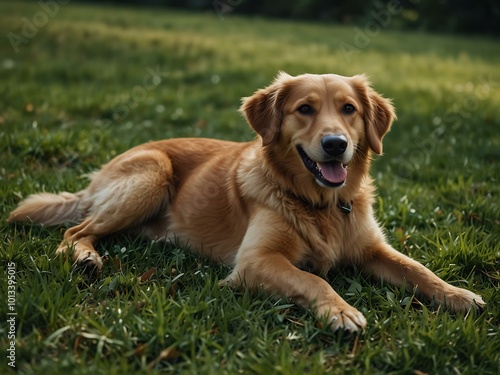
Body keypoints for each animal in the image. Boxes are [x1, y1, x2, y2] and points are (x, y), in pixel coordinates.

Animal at [7, 72, 484, 332]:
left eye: (349, 109)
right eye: (305, 109)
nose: (336, 145)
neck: (320, 204)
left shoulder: (372, 249)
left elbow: (418, 270)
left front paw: (459, 294)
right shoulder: (255, 261)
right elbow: (314, 280)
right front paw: (341, 312)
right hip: (151, 175)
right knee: (76, 230)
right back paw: (85, 257)